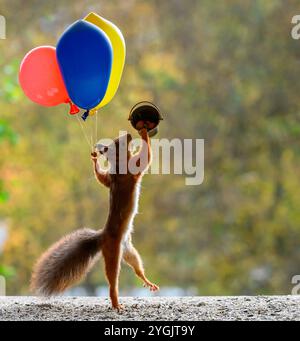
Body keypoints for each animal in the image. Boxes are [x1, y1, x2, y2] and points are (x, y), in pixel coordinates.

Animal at [30, 127, 159, 308]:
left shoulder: (110, 179)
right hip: (113, 253)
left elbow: (102, 178)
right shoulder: (131, 170)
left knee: (137, 268)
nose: (128, 134)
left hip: (129, 251)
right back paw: (116, 302)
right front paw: (144, 134)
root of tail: (103, 236)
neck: (118, 163)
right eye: (118, 143)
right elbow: (145, 157)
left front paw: (94, 159)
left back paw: (147, 281)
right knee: (112, 280)